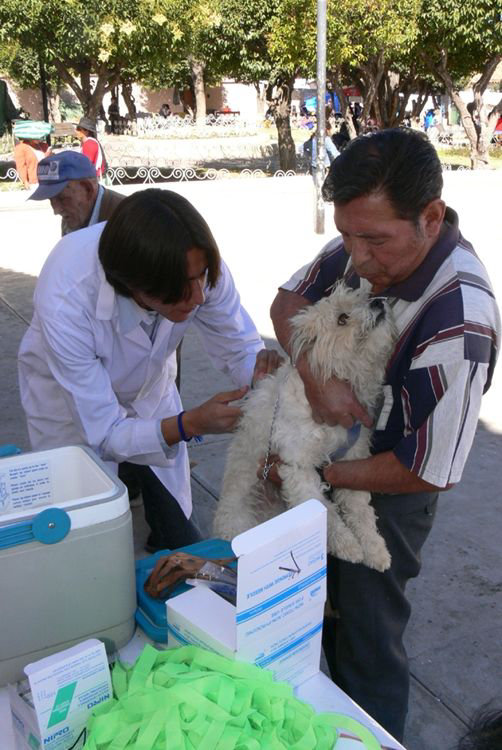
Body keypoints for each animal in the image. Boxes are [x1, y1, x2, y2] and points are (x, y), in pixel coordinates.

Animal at [212, 284, 396, 572]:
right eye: (342, 318)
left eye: (363, 297)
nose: (378, 302)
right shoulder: (297, 468)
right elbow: (326, 513)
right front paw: (348, 546)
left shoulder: (351, 462)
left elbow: (361, 512)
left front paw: (375, 550)